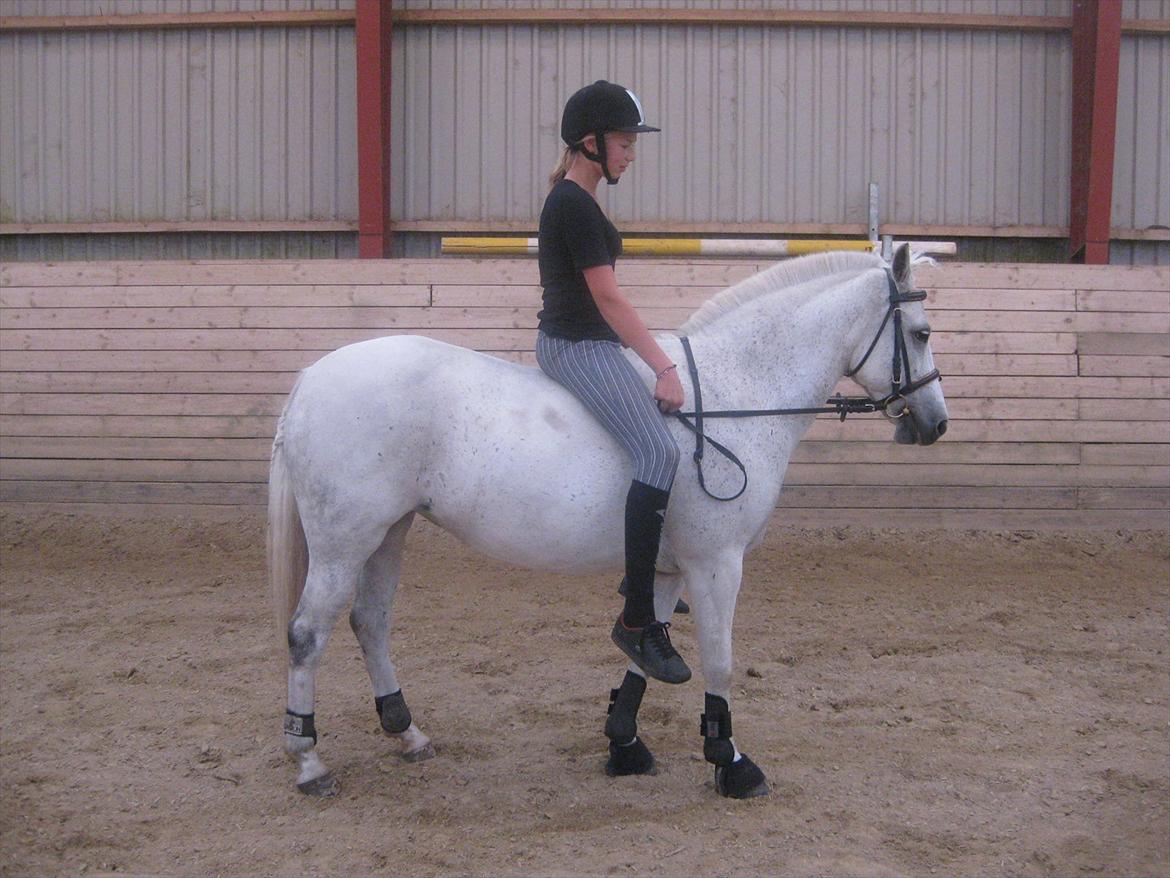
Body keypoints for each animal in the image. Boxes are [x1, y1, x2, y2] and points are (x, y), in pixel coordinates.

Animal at [267, 244, 950, 800]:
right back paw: (309, 762)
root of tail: (311, 377)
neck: (735, 393)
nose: (936, 424)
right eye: (919, 333)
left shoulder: (672, 567)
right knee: (307, 635)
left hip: (390, 532)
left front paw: (624, 743)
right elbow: (720, 660)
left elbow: (648, 652)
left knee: (369, 623)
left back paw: (408, 735)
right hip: (344, 540)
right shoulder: (717, 562)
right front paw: (730, 761)